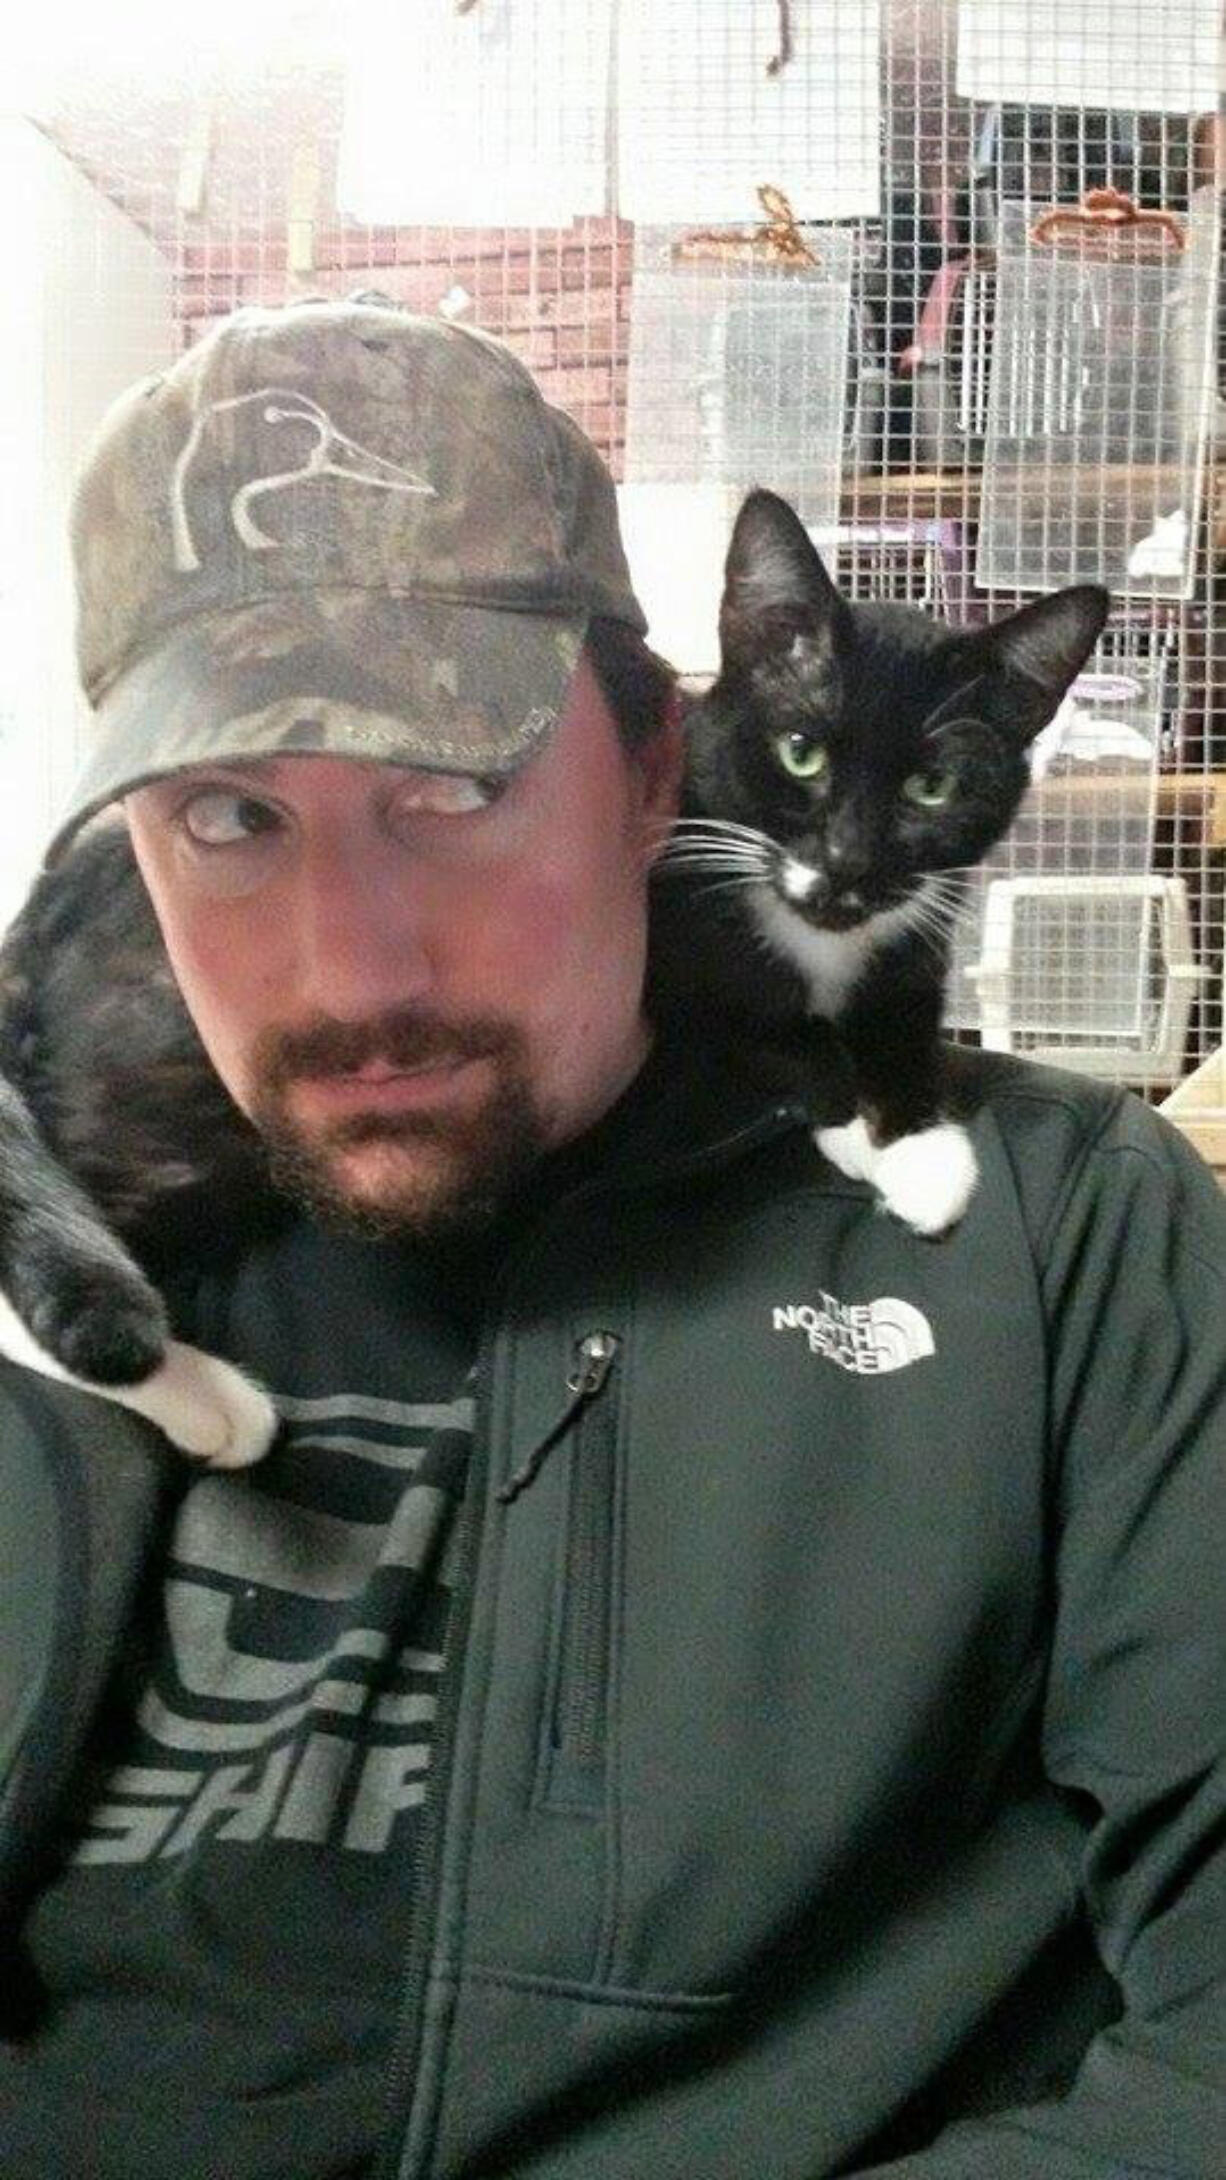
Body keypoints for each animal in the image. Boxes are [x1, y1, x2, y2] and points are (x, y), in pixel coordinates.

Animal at [650, 490, 1108, 1229]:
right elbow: (762, 1018)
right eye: (800, 752)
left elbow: (904, 1020)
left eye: (933, 787)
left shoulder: (921, 934)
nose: (848, 860)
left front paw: (922, 1153)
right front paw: (847, 1121)